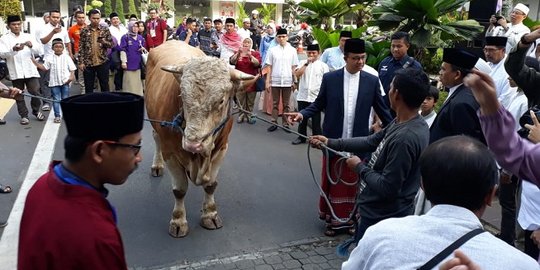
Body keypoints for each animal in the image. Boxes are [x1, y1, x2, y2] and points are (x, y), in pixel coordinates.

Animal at [143, 41, 253, 237]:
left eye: (221, 100)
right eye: (182, 95)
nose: (193, 144)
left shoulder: (222, 148)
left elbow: (211, 185)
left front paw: (210, 214)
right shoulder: (170, 151)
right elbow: (179, 190)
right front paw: (178, 220)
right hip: (156, 126)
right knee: (156, 140)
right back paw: (157, 165)